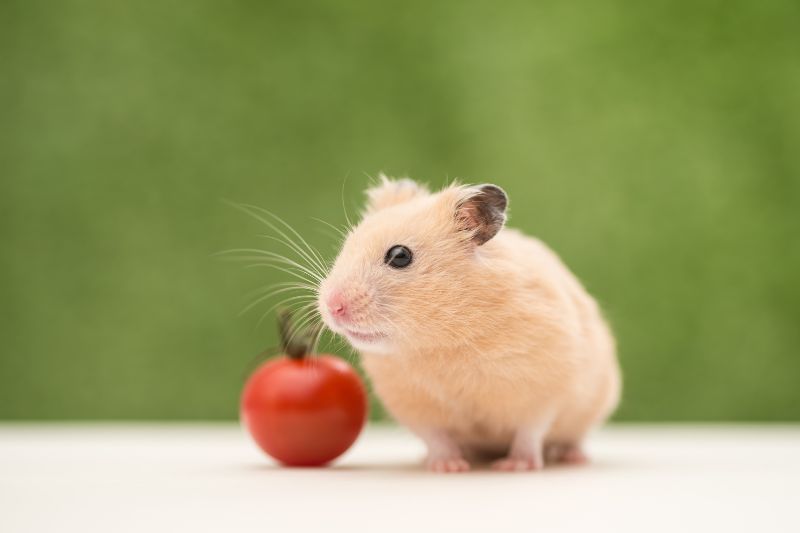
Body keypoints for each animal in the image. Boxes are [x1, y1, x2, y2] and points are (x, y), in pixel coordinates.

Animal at [316, 177, 620, 472]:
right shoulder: (415, 405)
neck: (443, 340)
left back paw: (573, 457)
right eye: (347, 246)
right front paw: (447, 467)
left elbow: (530, 431)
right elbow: (436, 437)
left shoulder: (543, 389)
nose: (332, 306)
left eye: (400, 256)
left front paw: (516, 466)